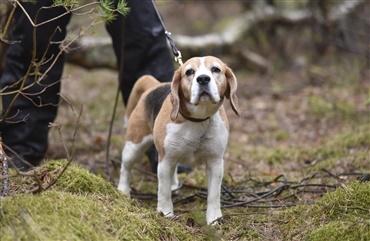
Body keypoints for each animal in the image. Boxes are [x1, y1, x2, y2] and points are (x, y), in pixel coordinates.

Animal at [118, 55, 240, 225]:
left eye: (215, 69)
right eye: (189, 72)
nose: (203, 79)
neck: (197, 120)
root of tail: (154, 85)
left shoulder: (215, 162)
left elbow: (214, 194)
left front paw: (214, 219)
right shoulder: (165, 159)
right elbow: (163, 191)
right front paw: (165, 213)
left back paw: (174, 186)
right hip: (134, 145)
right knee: (125, 168)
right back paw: (122, 190)